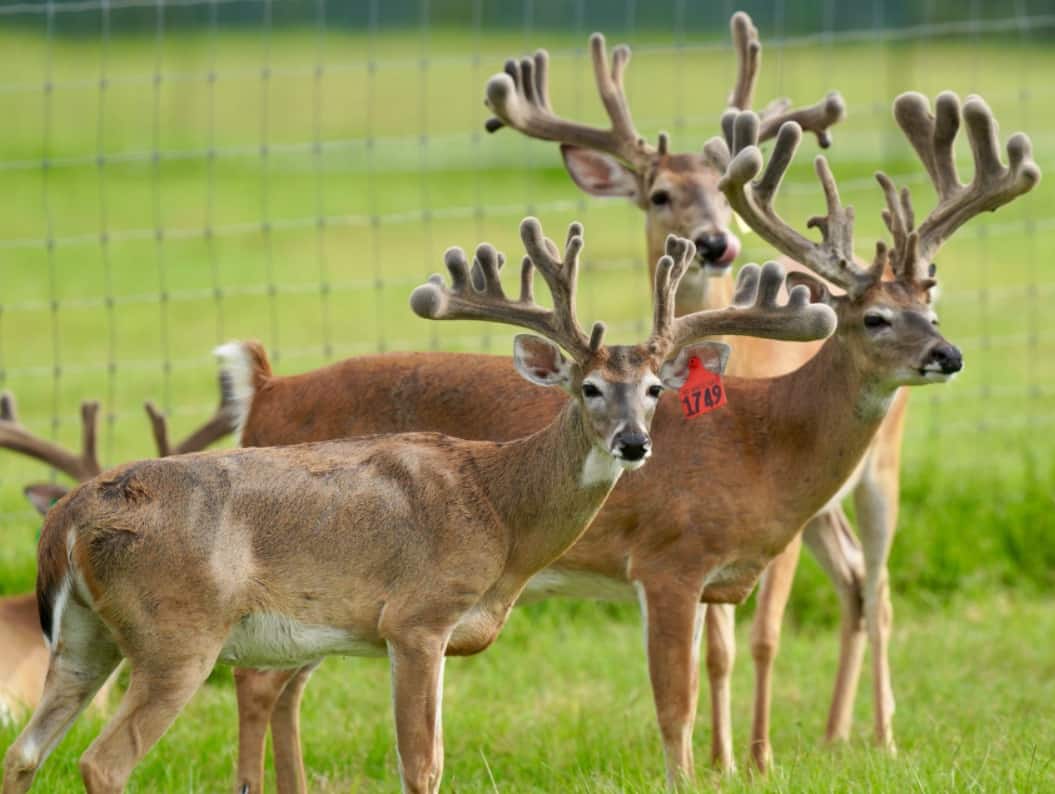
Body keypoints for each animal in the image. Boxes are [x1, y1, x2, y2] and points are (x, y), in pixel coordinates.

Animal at [212, 91, 1036, 792]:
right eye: (873, 317)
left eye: (931, 302)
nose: (948, 355)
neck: (765, 442)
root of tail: (268, 389)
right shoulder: (669, 557)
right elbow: (675, 702)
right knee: (254, 682)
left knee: (283, 687)